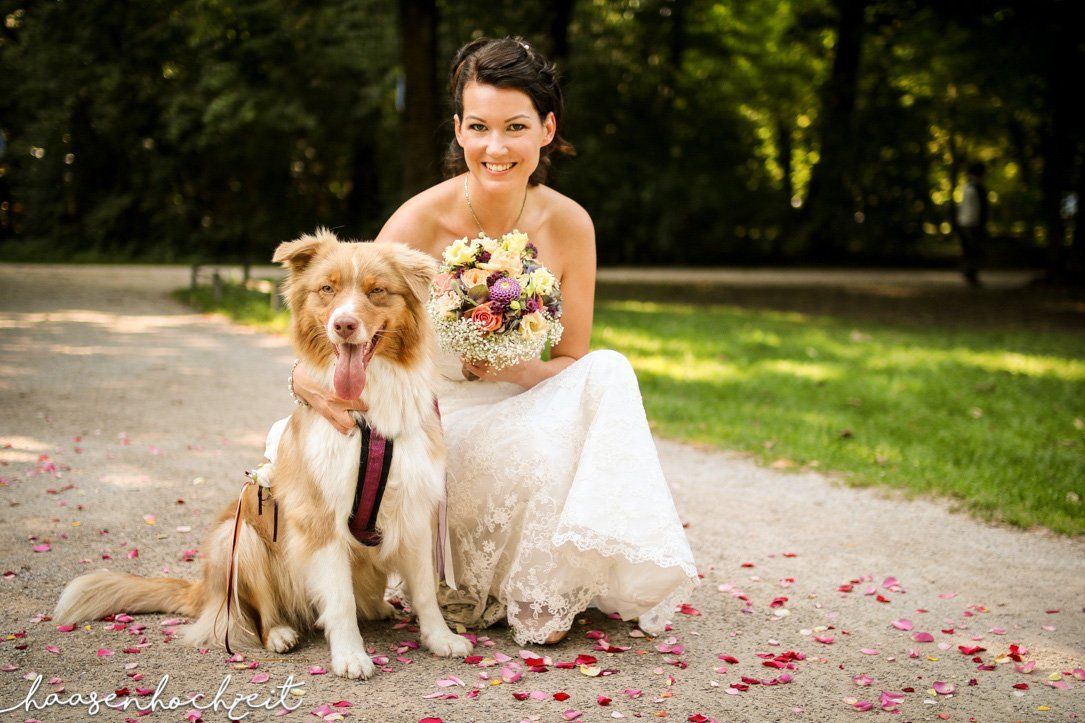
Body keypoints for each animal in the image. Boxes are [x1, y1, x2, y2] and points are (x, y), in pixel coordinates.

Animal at [53, 229, 470, 677]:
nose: (343, 324)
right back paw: (280, 634)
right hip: (239, 540)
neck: (368, 418)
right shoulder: (320, 517)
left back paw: (379, 609)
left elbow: (425, 589)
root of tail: (204, 590)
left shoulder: (413, 509)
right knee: (256, 614)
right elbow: (339, 599)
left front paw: (440, 638)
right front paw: (350, 655)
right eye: (327, 289)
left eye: (377, 291)